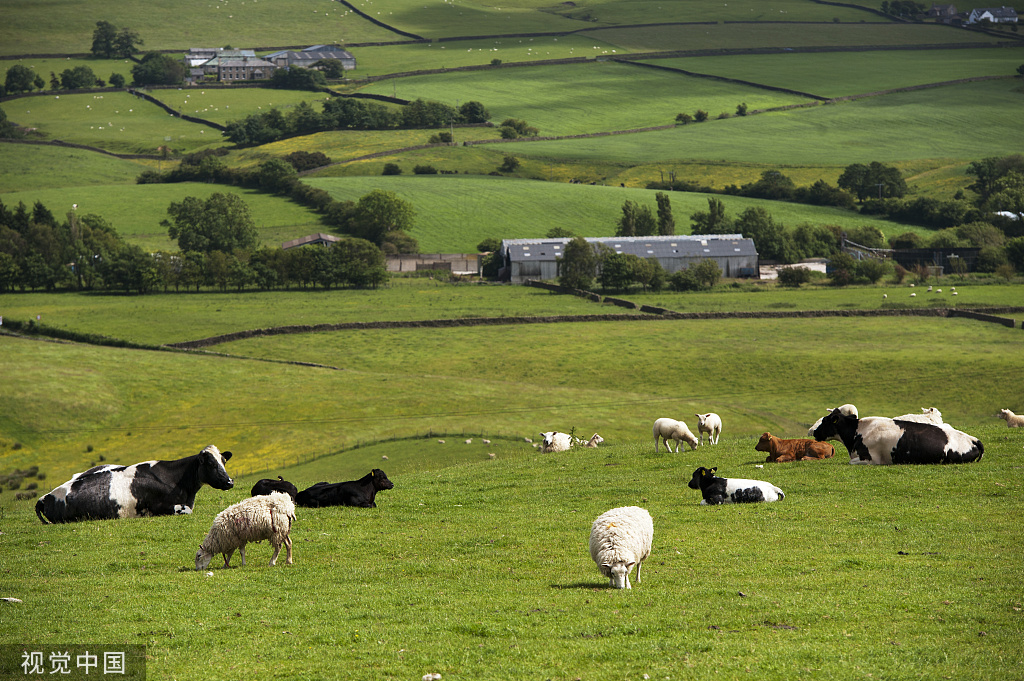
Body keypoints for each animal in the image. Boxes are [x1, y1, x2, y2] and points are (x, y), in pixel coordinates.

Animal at [35, 444, 234, 522]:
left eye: (223, 461)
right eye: (210, 463)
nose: (230, 481)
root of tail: (45, 497)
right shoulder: (160, 506)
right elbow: (185, 510)